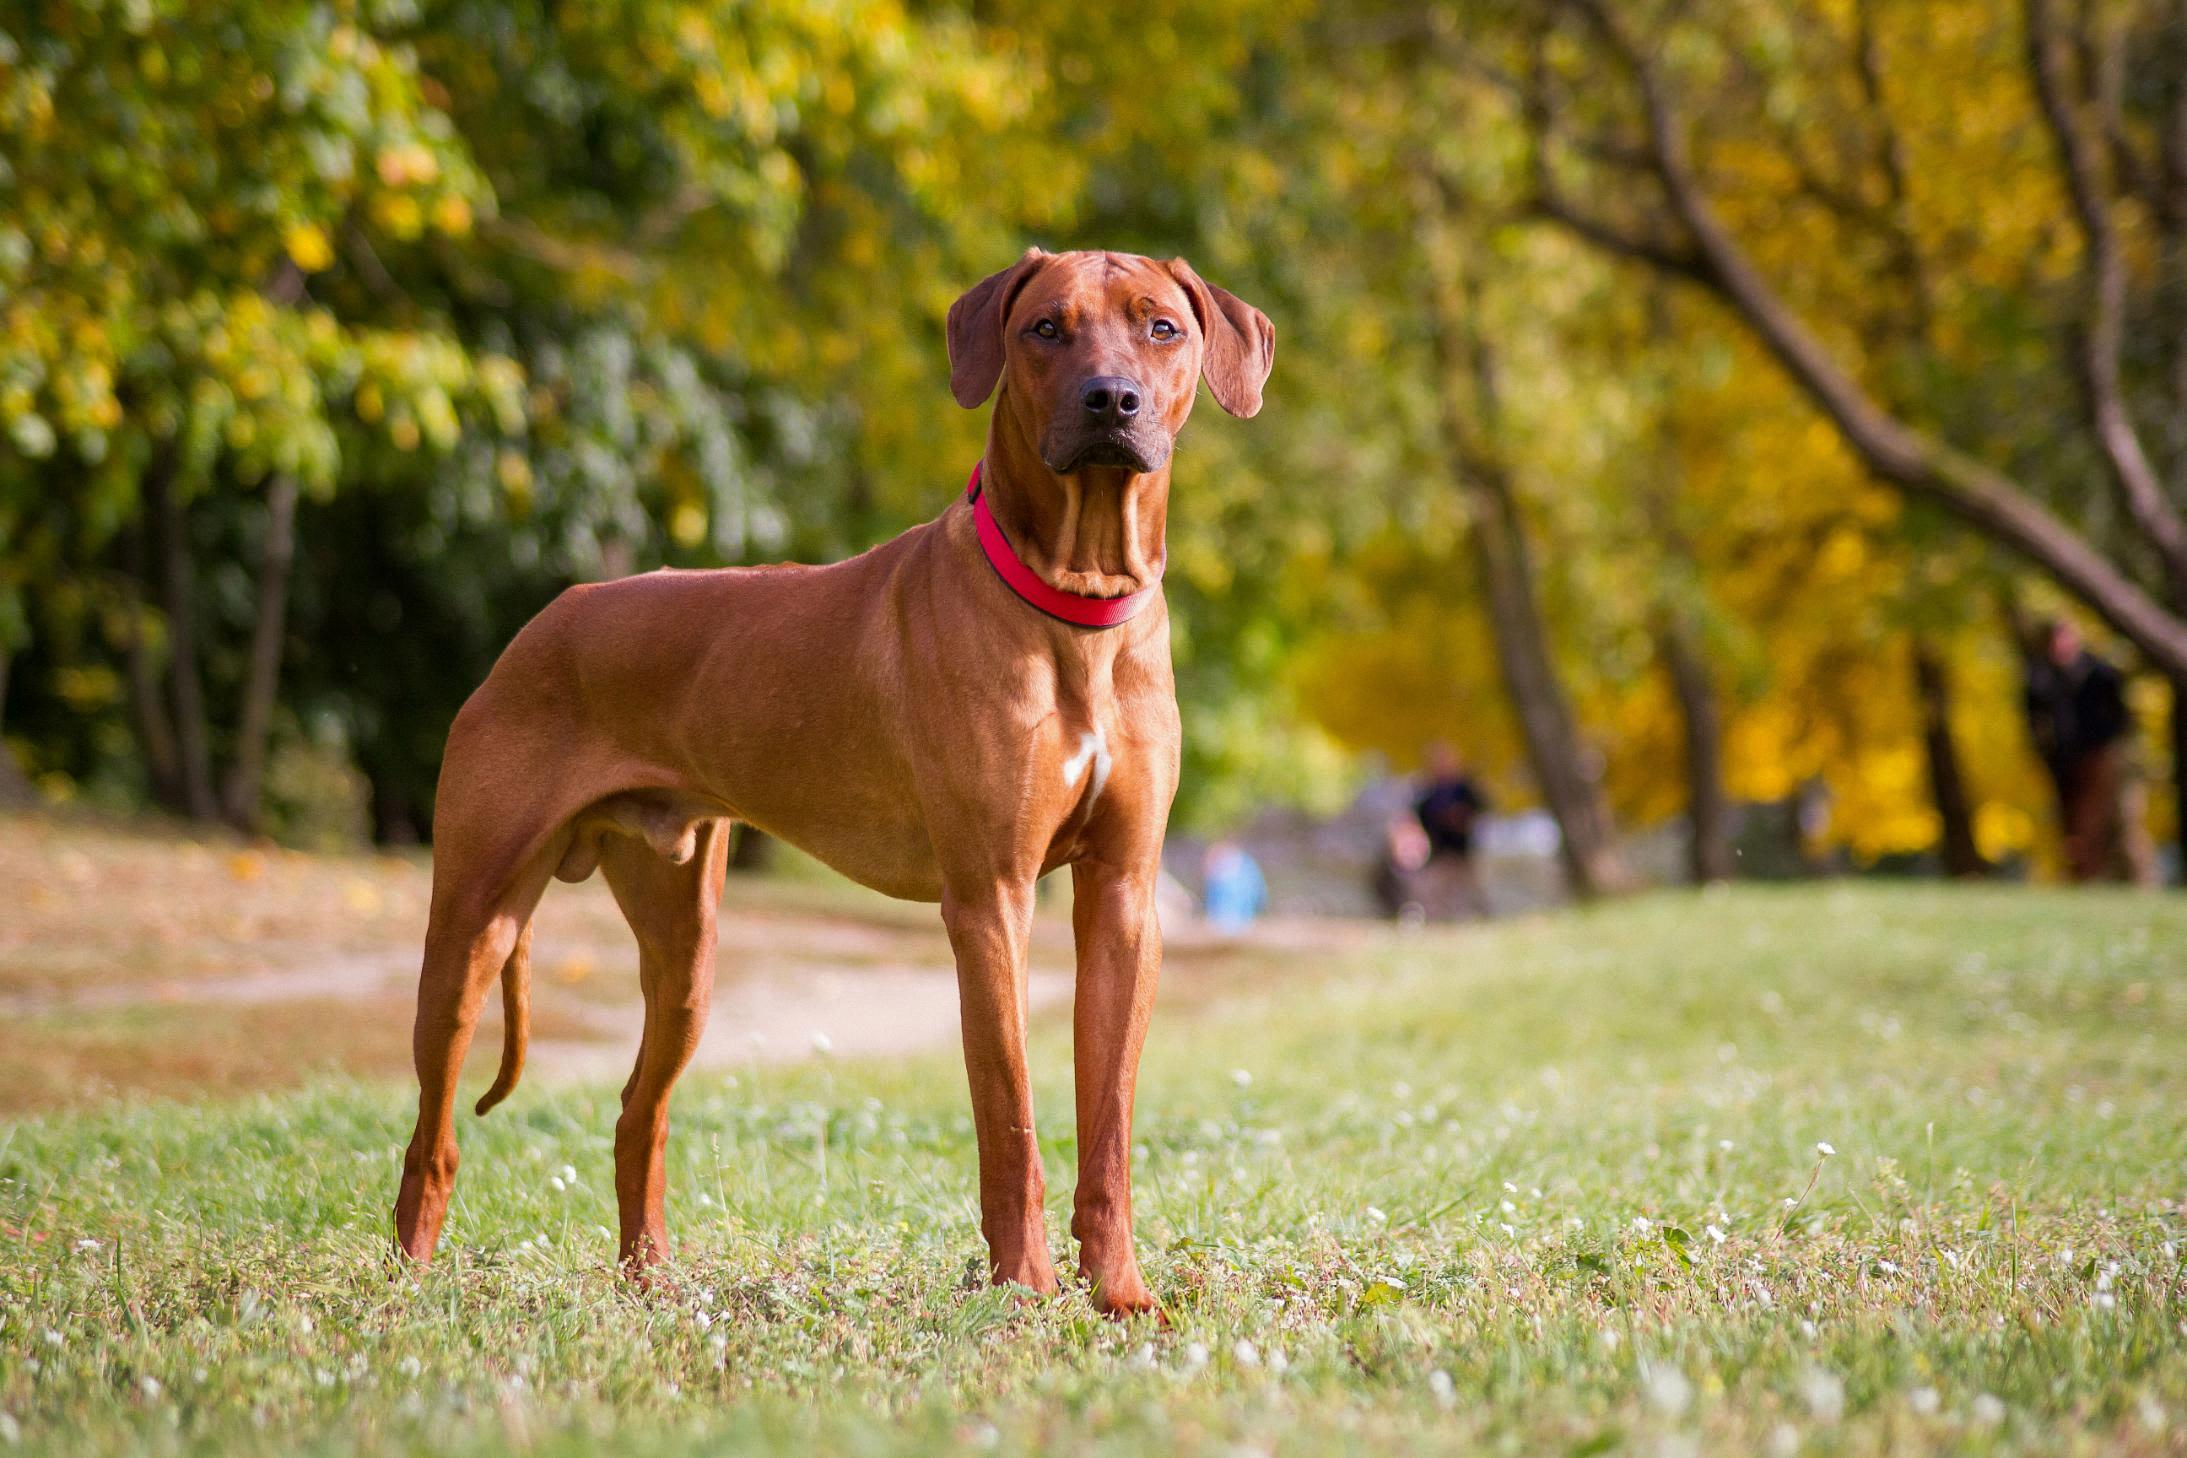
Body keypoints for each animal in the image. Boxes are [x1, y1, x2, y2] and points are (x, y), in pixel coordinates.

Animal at [395, 244, 1277, 1320]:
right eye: (1045, 329)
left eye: (1162, 327)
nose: (1111, 400)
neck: (1073, 606)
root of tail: (542, 621)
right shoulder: (989, 900)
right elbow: (1011, 1118)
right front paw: (1021, 1290)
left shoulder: (1123, 895)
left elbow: (1106, 1123)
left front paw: (1118, 1294)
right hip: (473, 922)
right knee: (432, 1134)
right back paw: (406, 1285)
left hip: (685, 950)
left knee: (637, 1113)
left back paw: (650, 1285)